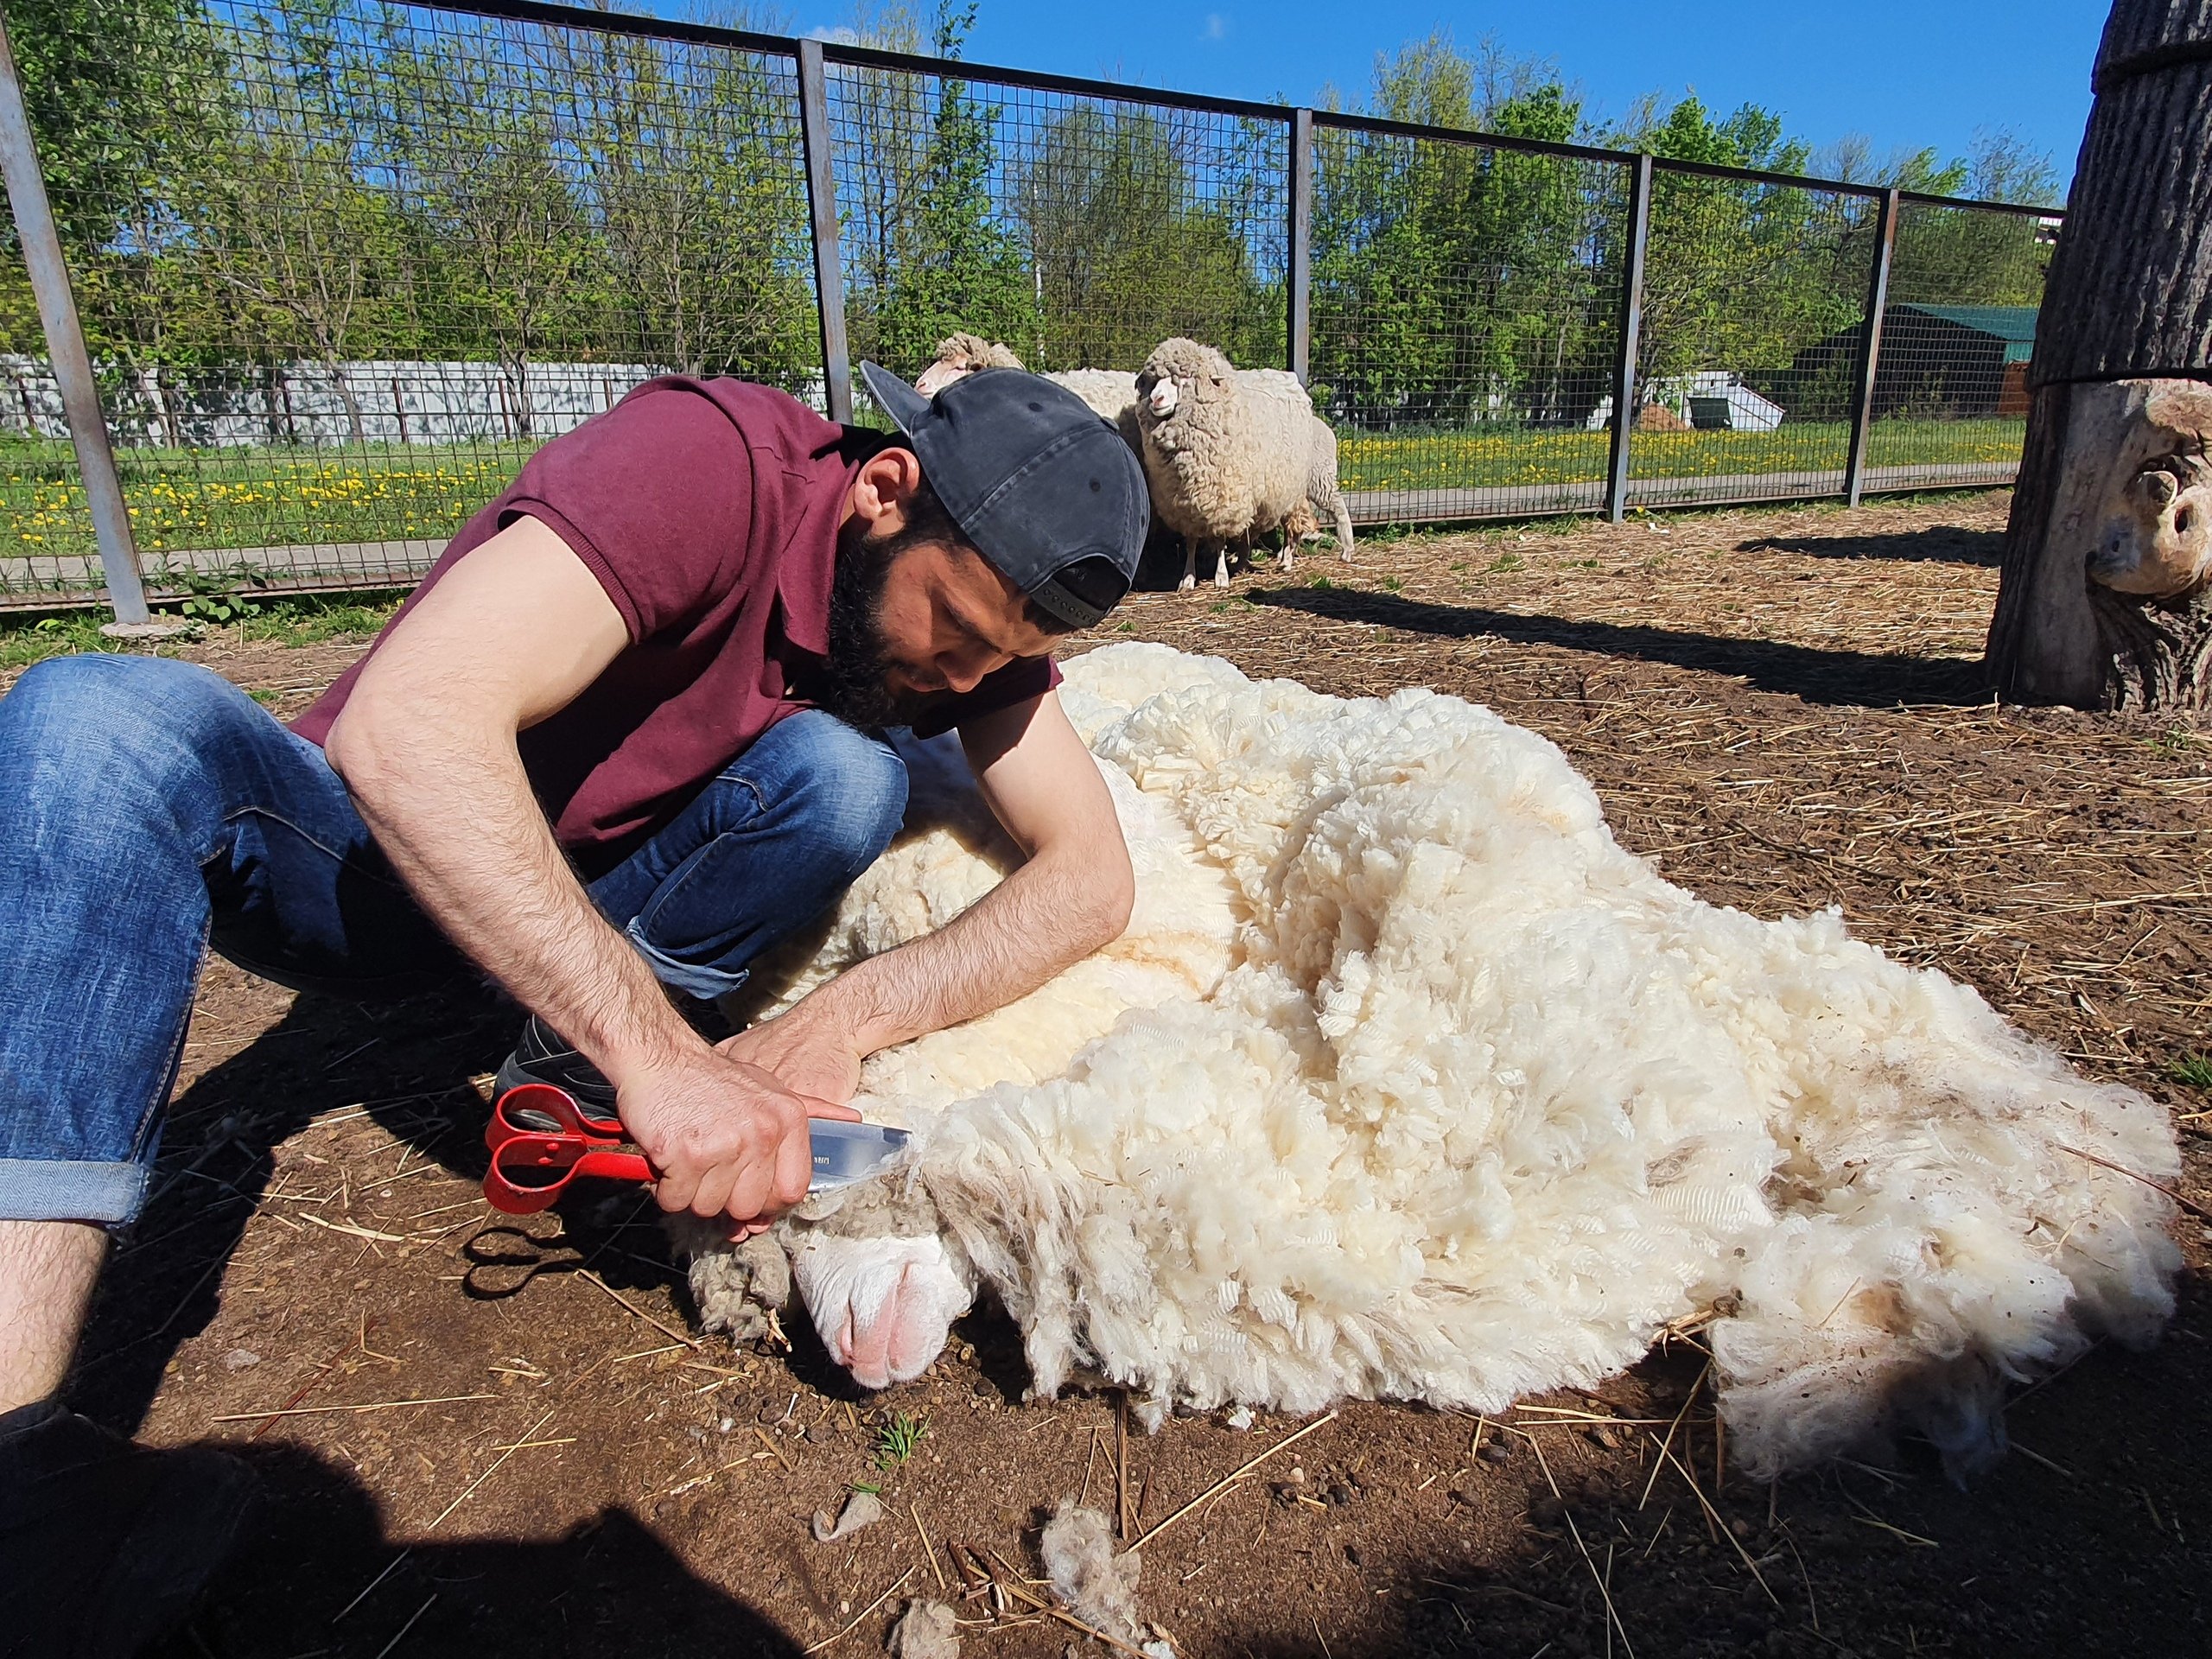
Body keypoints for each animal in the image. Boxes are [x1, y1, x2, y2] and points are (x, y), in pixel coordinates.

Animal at [1150, 336, 1353, 593]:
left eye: (1185, 380)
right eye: (1155, 380)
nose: (1155, 399)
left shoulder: (1222, 498)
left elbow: (1219, 540)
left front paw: (1221, 577)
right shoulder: (1185, 504)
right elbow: (1191, 542)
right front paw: (1187, 578)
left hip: (1314, 479)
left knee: (1333, 507)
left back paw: (1344, 550)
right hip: (1287, 489)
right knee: (1290, 525)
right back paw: (1274, 559)